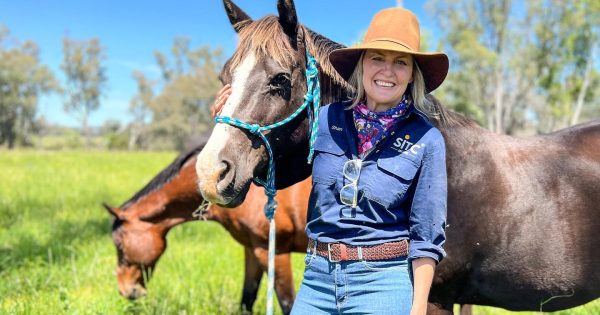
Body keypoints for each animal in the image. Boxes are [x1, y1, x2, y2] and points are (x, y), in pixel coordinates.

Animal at [103, 144, 312, 314]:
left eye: (119, 246)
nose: (125, 290)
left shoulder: (274, 251)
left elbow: (288, 303)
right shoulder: (253, 250)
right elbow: (247, 299)